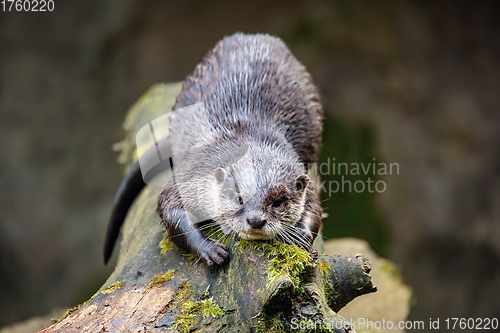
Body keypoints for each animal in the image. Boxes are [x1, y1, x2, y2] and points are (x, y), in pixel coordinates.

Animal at [105, 33, 324, 264]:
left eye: (279, 201)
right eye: (238, 198)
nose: (255, 220)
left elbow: (315, 208)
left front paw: (300, 235)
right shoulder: (193, 171)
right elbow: (170, 207)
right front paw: (209, 248)